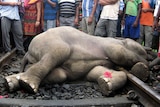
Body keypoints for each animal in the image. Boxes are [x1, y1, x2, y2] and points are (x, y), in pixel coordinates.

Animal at [3, 26, 149, 95]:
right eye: (140, 50)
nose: (148, 61)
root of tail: (28, 52)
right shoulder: (112, 45)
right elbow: (119, 54)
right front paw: (142, 69)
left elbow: (95, 72)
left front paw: (106, 84)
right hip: (50, 41)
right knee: (59, 51)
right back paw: (28, 84)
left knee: (59, 74)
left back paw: (10, 82)